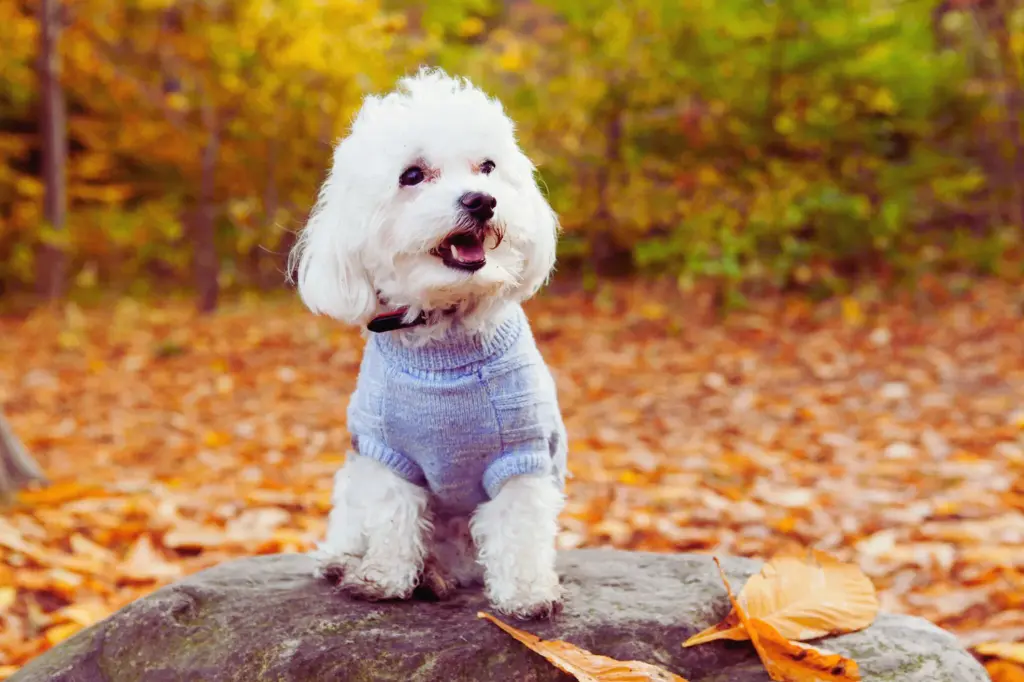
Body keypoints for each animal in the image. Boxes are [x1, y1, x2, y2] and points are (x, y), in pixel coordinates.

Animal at [288, 67, 569, 614]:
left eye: (488, 168)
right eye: (413, 176)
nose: (482, 200)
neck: (447, 330)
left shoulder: (522, 453)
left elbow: (519, 526)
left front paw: (526, 593)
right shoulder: (385, 452)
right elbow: (393, 518)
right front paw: (384, 578)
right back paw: (348, 562)